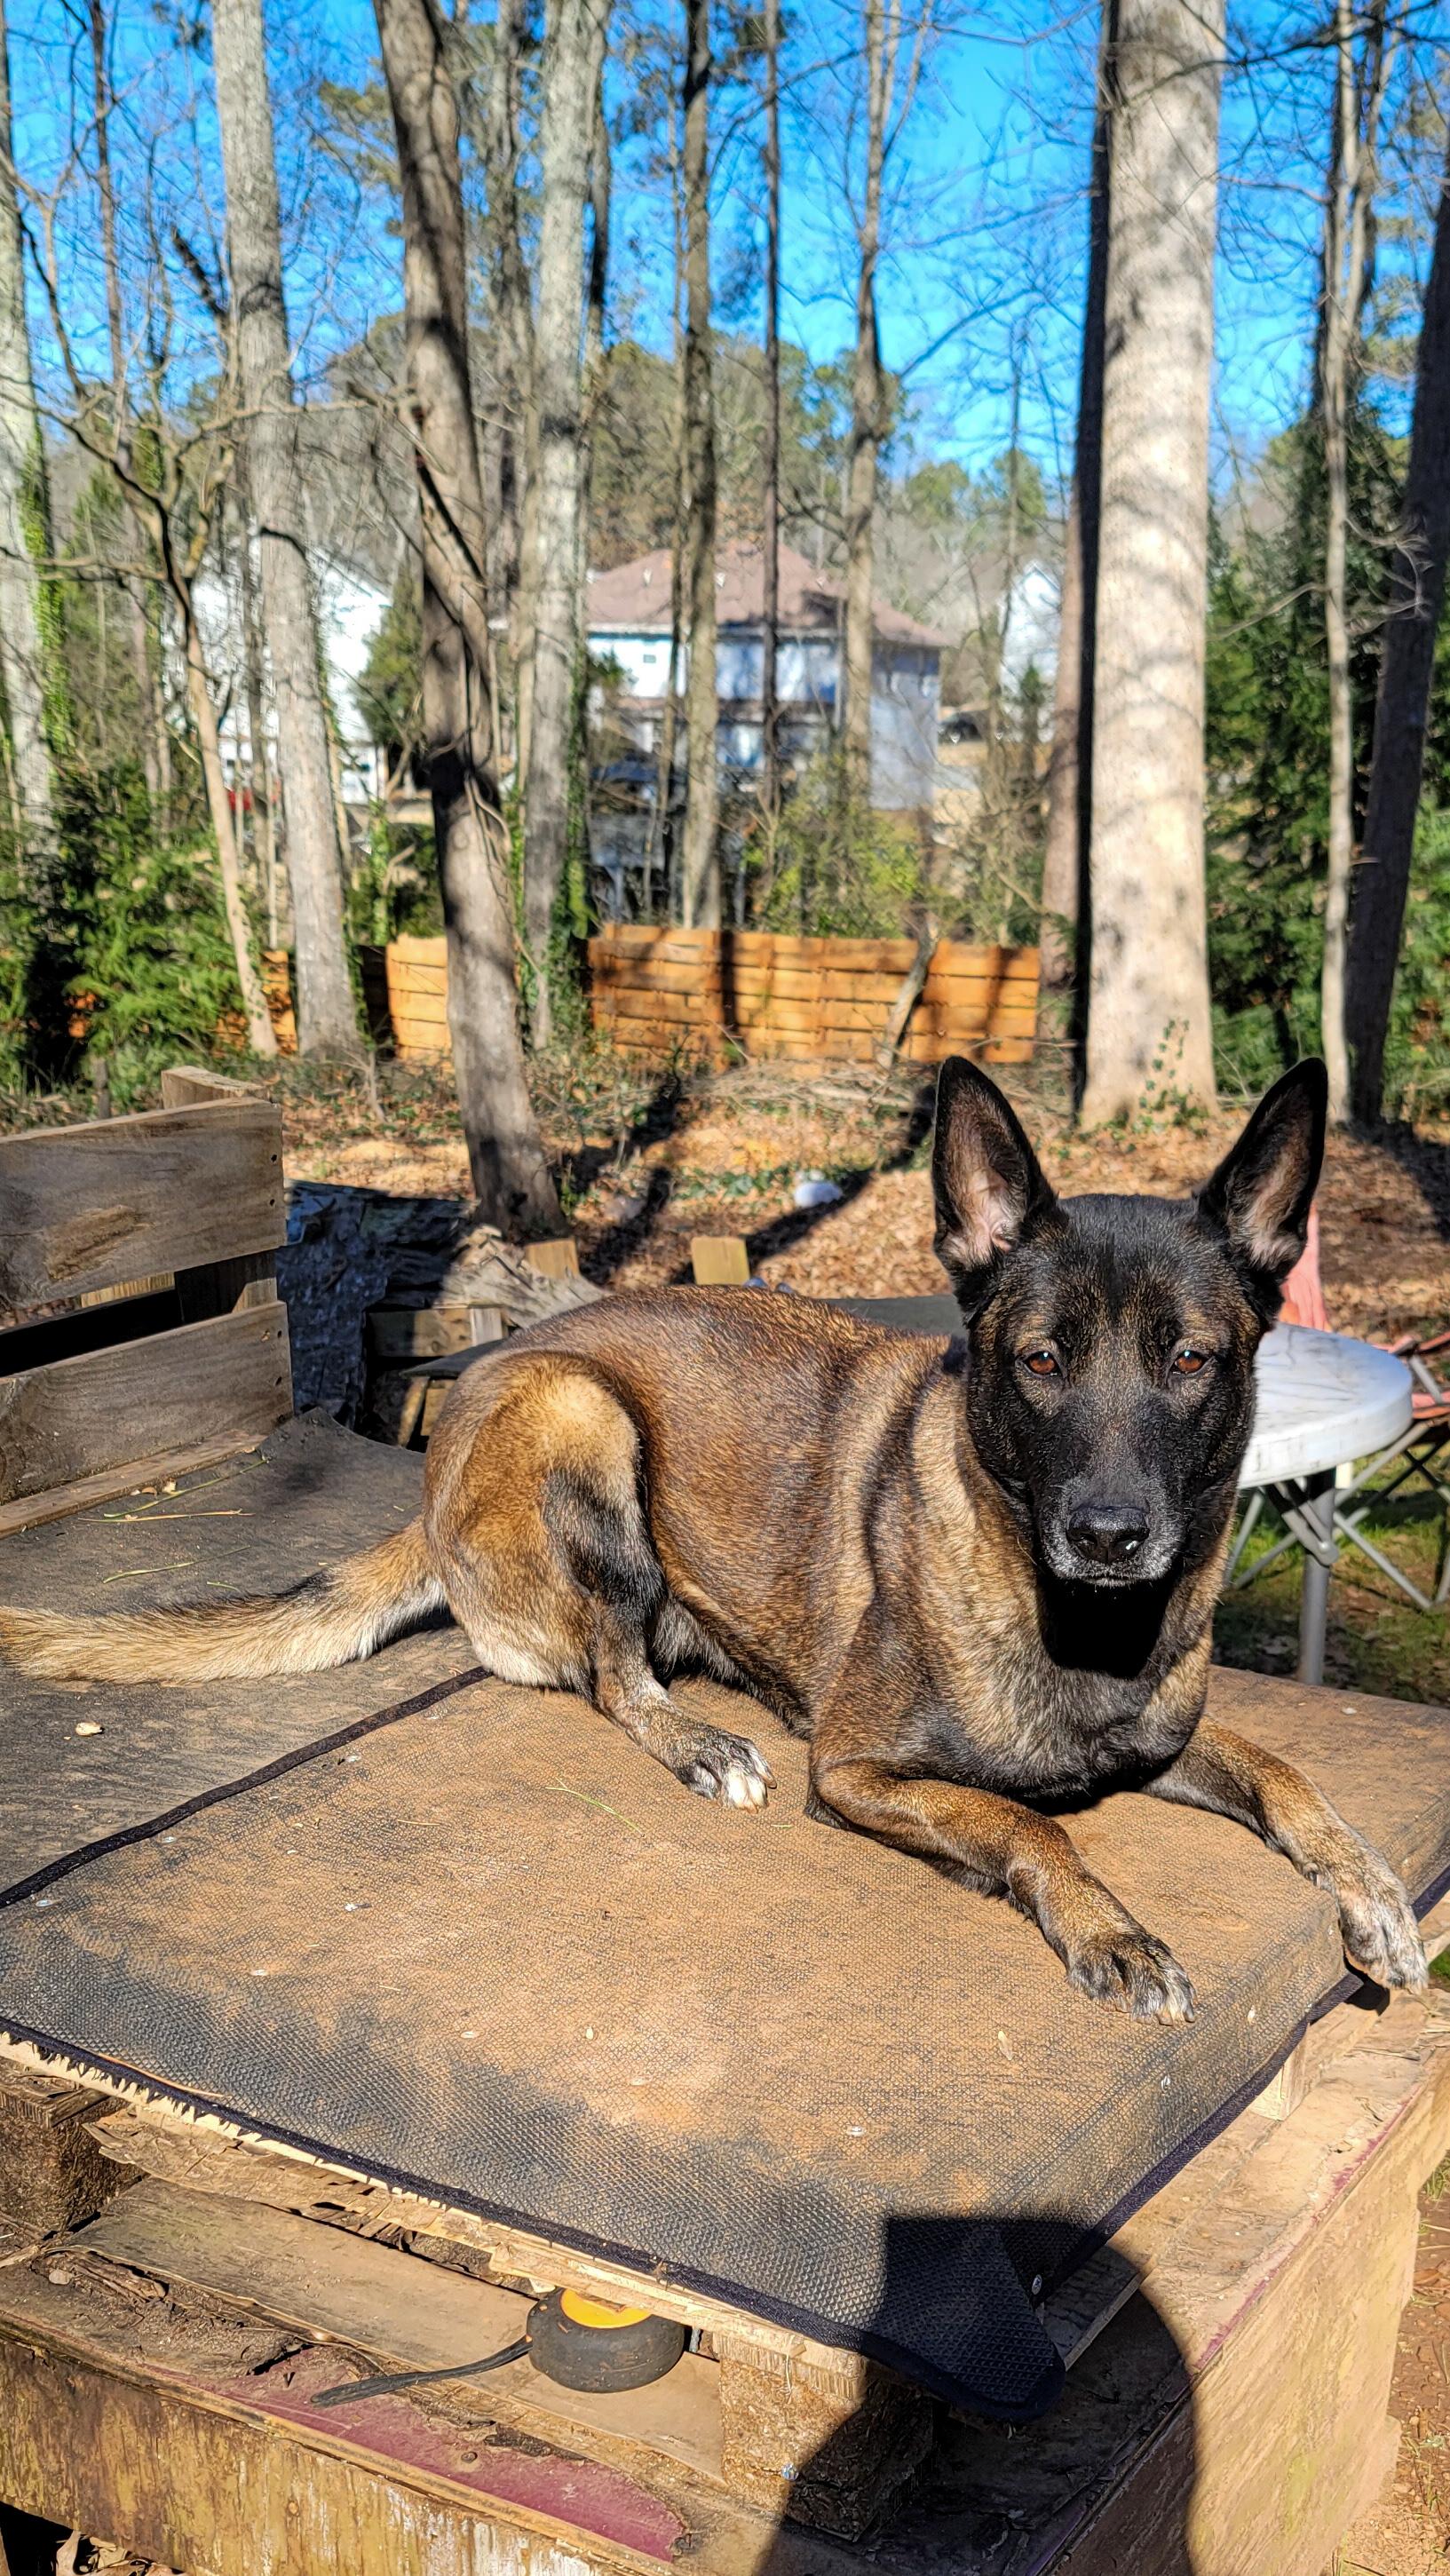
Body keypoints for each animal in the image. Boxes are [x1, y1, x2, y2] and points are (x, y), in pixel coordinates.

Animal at [0, 1055, 1426, 2020]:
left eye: (1190, 1359)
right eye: (1038, 1360)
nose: (1112, 1534)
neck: (1084, 1627)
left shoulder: (1168, 1736)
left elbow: (1283, 1770)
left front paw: (1368, 1886)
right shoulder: (856, 1771)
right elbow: (1034, 1828)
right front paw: (1113, 1933)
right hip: (582, 1418)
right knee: (610, 1675)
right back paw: (702, 1742)